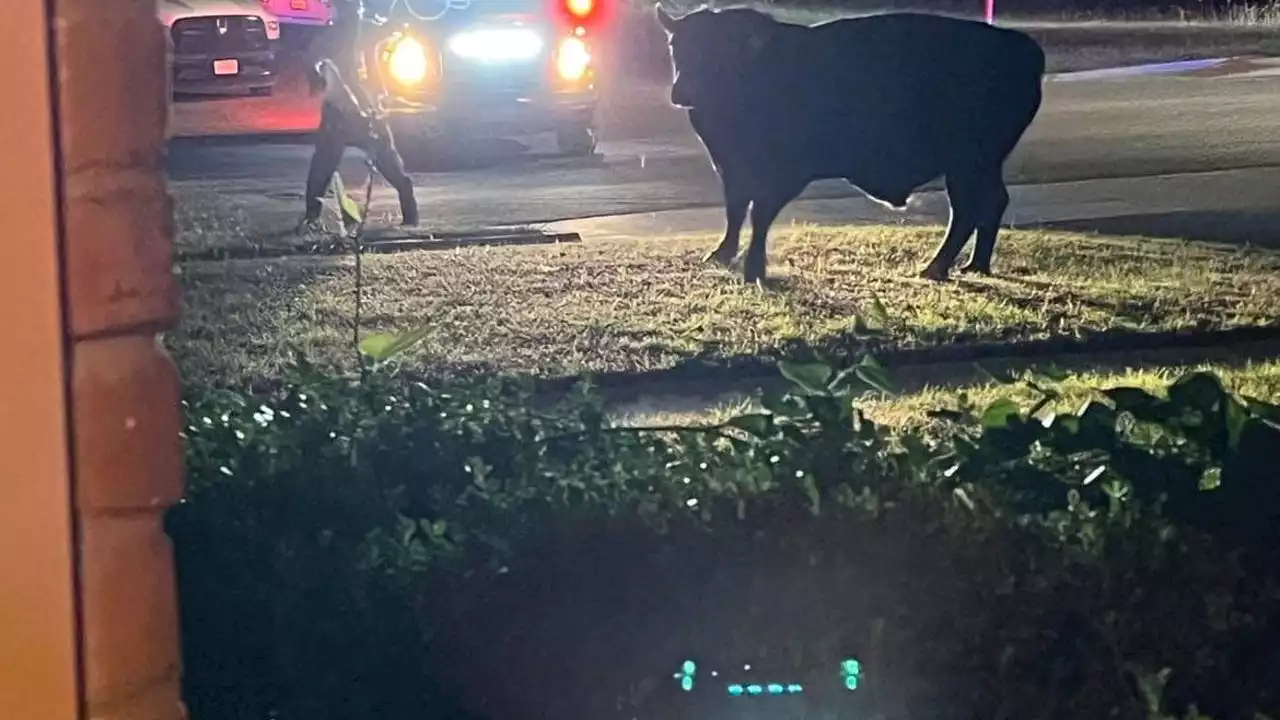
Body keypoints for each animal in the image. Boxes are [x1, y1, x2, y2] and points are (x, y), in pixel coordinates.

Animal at [655, 8, 1044, 284]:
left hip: (970, 163)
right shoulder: (730, 168)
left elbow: (759, 214)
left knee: (971, 208)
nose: (681, 92)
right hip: (976, 166)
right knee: (988, 203)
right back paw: (974, 265)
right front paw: (721, 254)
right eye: (675, 46)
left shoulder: (784, 174)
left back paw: (937, 267)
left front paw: (754, 269)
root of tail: (1024, 47)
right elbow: (735, 211)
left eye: (717, 50)